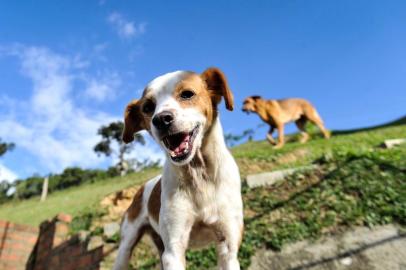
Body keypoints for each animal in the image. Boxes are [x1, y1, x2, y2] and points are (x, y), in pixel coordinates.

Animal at [112, 67, 243, 270]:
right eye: (147, 107)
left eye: (187, 94)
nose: (161, 119)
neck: (199, 174)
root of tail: (141, 188)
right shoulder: (173, 251)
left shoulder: (228, 248)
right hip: (127, 246)